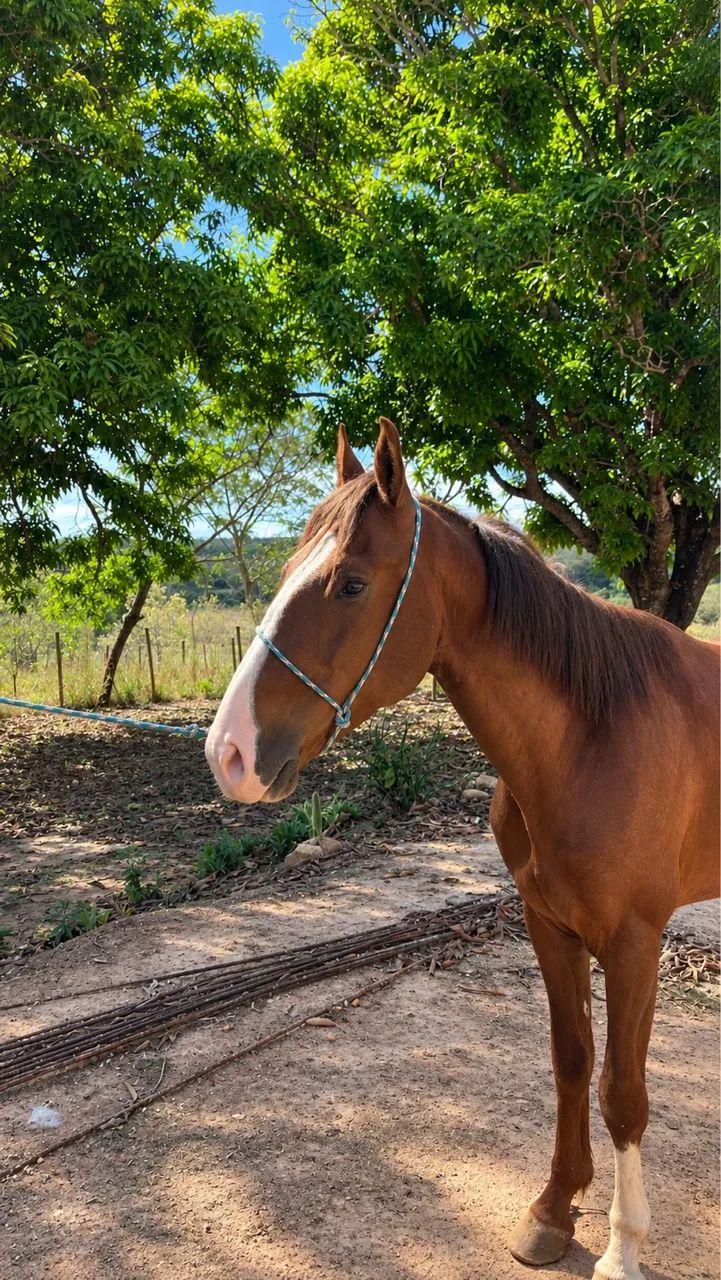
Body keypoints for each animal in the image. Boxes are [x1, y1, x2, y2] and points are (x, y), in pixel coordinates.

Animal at [205, 417, 720, 1280]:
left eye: (350, 583)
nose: (229, 752)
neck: (593, 735)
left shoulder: (632, 941)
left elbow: (622, 1091)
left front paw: (622, 1246)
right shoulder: (548, 924)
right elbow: (572, 1061)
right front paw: (552, 1211)